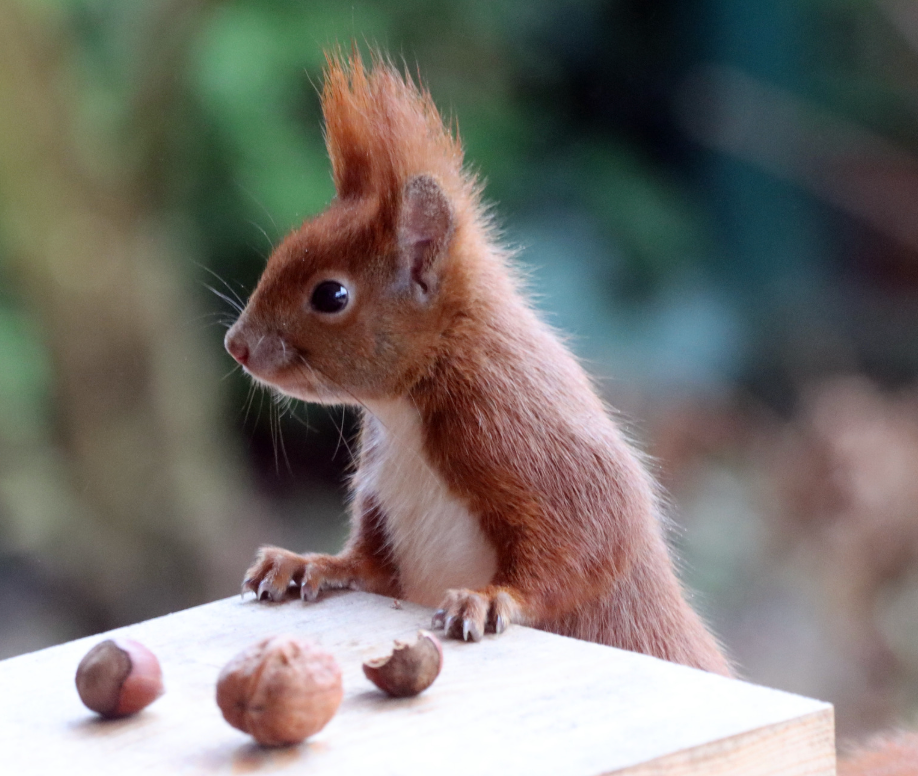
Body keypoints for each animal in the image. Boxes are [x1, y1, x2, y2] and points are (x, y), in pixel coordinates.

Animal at [224, 52, 731, 677]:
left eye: (331, 295)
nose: (236, 345)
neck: (405, 407)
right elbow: (371, 566)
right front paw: (309, 562)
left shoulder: (522, 425)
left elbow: (595, 533)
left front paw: (490, 599)